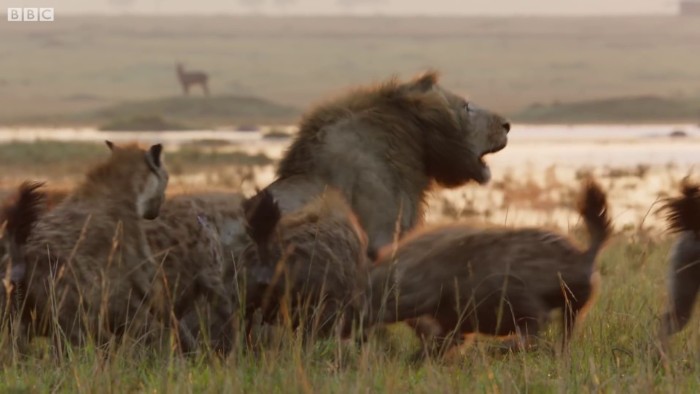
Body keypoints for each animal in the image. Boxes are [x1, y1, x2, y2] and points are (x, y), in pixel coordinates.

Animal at [1, 142, 176, 350]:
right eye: (167, 175)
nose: (158, 207)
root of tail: (19, 256)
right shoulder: (142, 278)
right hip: (74, 322)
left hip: (15, 324)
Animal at [366, 179, 612, 354]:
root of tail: (585, 255)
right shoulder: (454, 323)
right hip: (572, 307)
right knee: (563, 334)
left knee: (537, 331)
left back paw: (507, 348)